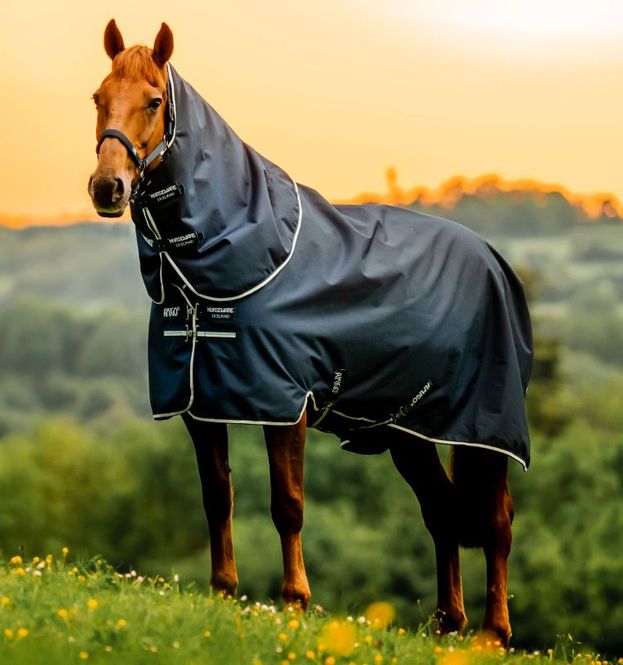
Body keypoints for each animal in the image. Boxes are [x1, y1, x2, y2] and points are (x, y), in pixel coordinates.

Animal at [88, 20, 532, 647]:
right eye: (98, 98)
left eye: (153, 101)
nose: (108, 188)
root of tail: (494, 260)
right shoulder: (200, 404)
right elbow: (217, 497)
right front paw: (223, 593)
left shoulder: (284, 402)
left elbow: (288, 504)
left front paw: (295, 602)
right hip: (409, 431)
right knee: (442, 512)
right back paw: (448, 624)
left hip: (484, 428)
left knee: (496, 519)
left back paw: (493, 633)